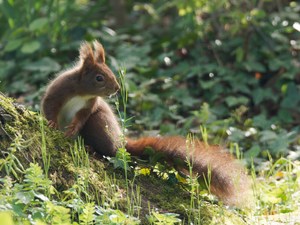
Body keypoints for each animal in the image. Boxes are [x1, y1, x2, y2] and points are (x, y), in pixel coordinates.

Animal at [42, 40, 252, 207]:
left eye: (111, 72)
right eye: (99, 78)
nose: (116, 88)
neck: (83, 92)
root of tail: (120, 142)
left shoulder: (90, 106)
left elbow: (81, 117)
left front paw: (73, 128)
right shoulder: (59, 91)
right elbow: (49, 106)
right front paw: (51, 124)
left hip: (98, 122)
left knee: (109, 151)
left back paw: (91, 148)